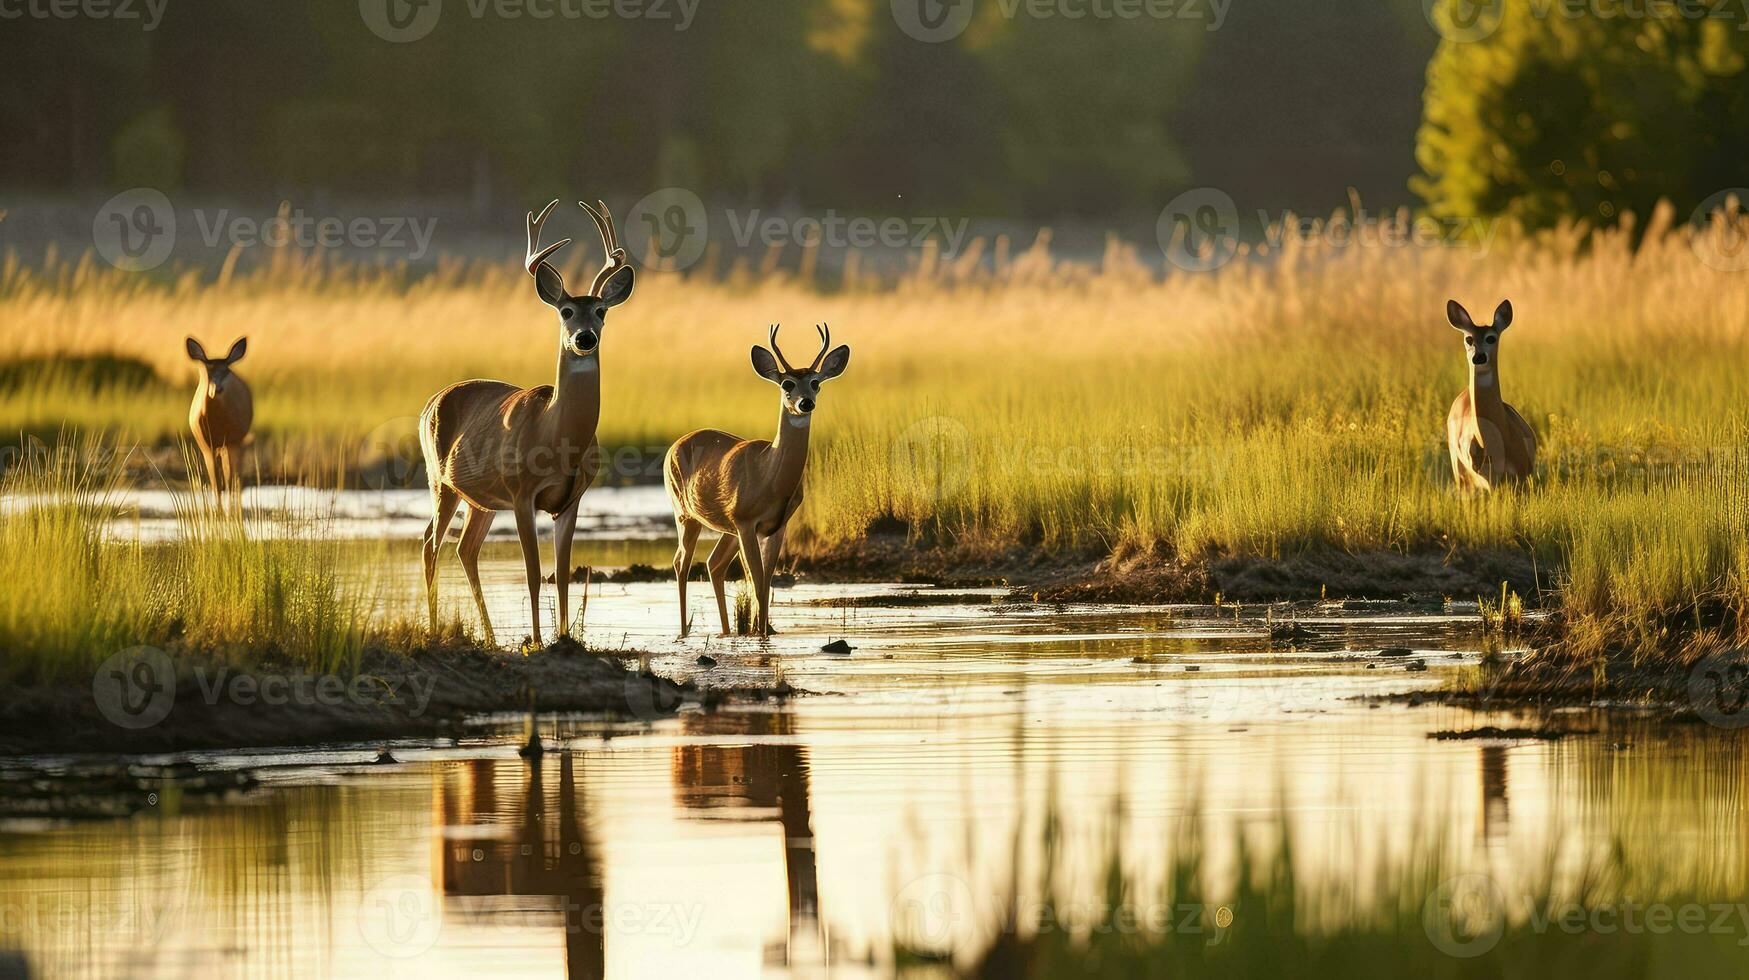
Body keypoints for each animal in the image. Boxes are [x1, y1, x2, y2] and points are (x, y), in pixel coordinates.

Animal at [184, 339, 253, 504]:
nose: (217, 389)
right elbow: (216, 484)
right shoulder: (206, 445)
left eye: (226, 371)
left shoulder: (233, 441)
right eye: (207, 371)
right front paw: (219, 510)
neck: (216, 424)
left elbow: (229, 480)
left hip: (236, 441)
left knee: (235, 477)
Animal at [416, 199, 636, 647]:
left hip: (479, 499)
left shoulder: (571, 500)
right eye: (566, 311)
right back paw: (433, 629)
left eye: (601, 311)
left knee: (465, 548)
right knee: (431, 542)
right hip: (439, 480)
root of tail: (429, 402)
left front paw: (565, 637)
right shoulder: (521, 493)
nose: (584, 338)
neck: (557, 436)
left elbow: (563, 575)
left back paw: (490, 636)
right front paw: (535, 640)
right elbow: (533, 574)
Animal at [664, 325, 850, 640]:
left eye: (815, 382)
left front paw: (763, 632)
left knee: (714, 564)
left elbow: (765, 582)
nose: (805, 403)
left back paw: (727, 632)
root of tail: (674, 446)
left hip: (726, 530)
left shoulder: (777, 526)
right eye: (787, 383)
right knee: (681, 563)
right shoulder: (746, 523)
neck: (770, 477)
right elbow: (757, 580)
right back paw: (684, 632)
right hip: (685, 515)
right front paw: (760, 635)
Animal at [1441, 301, 1539, 490]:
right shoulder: (1489, 478)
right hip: (1458, 468)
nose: (1478, 357)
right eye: (1469, 339)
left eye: (1491, 338)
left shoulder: (1523, 472)